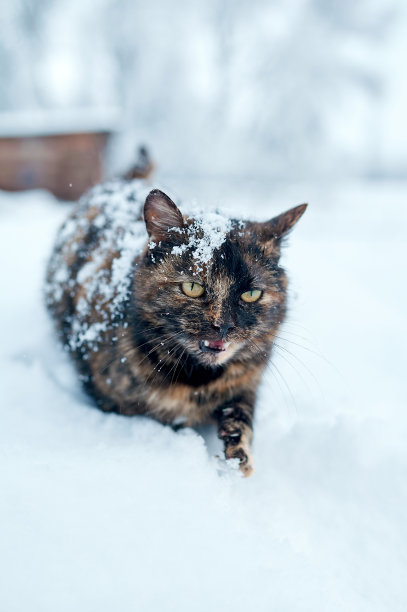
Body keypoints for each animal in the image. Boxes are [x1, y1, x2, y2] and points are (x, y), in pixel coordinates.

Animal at [45, 170, 306, 476]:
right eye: (192, 288)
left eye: (251, 294)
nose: (224, 325)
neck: (196, 380)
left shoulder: (248, 379)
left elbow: (241, 416)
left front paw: (238, 459)